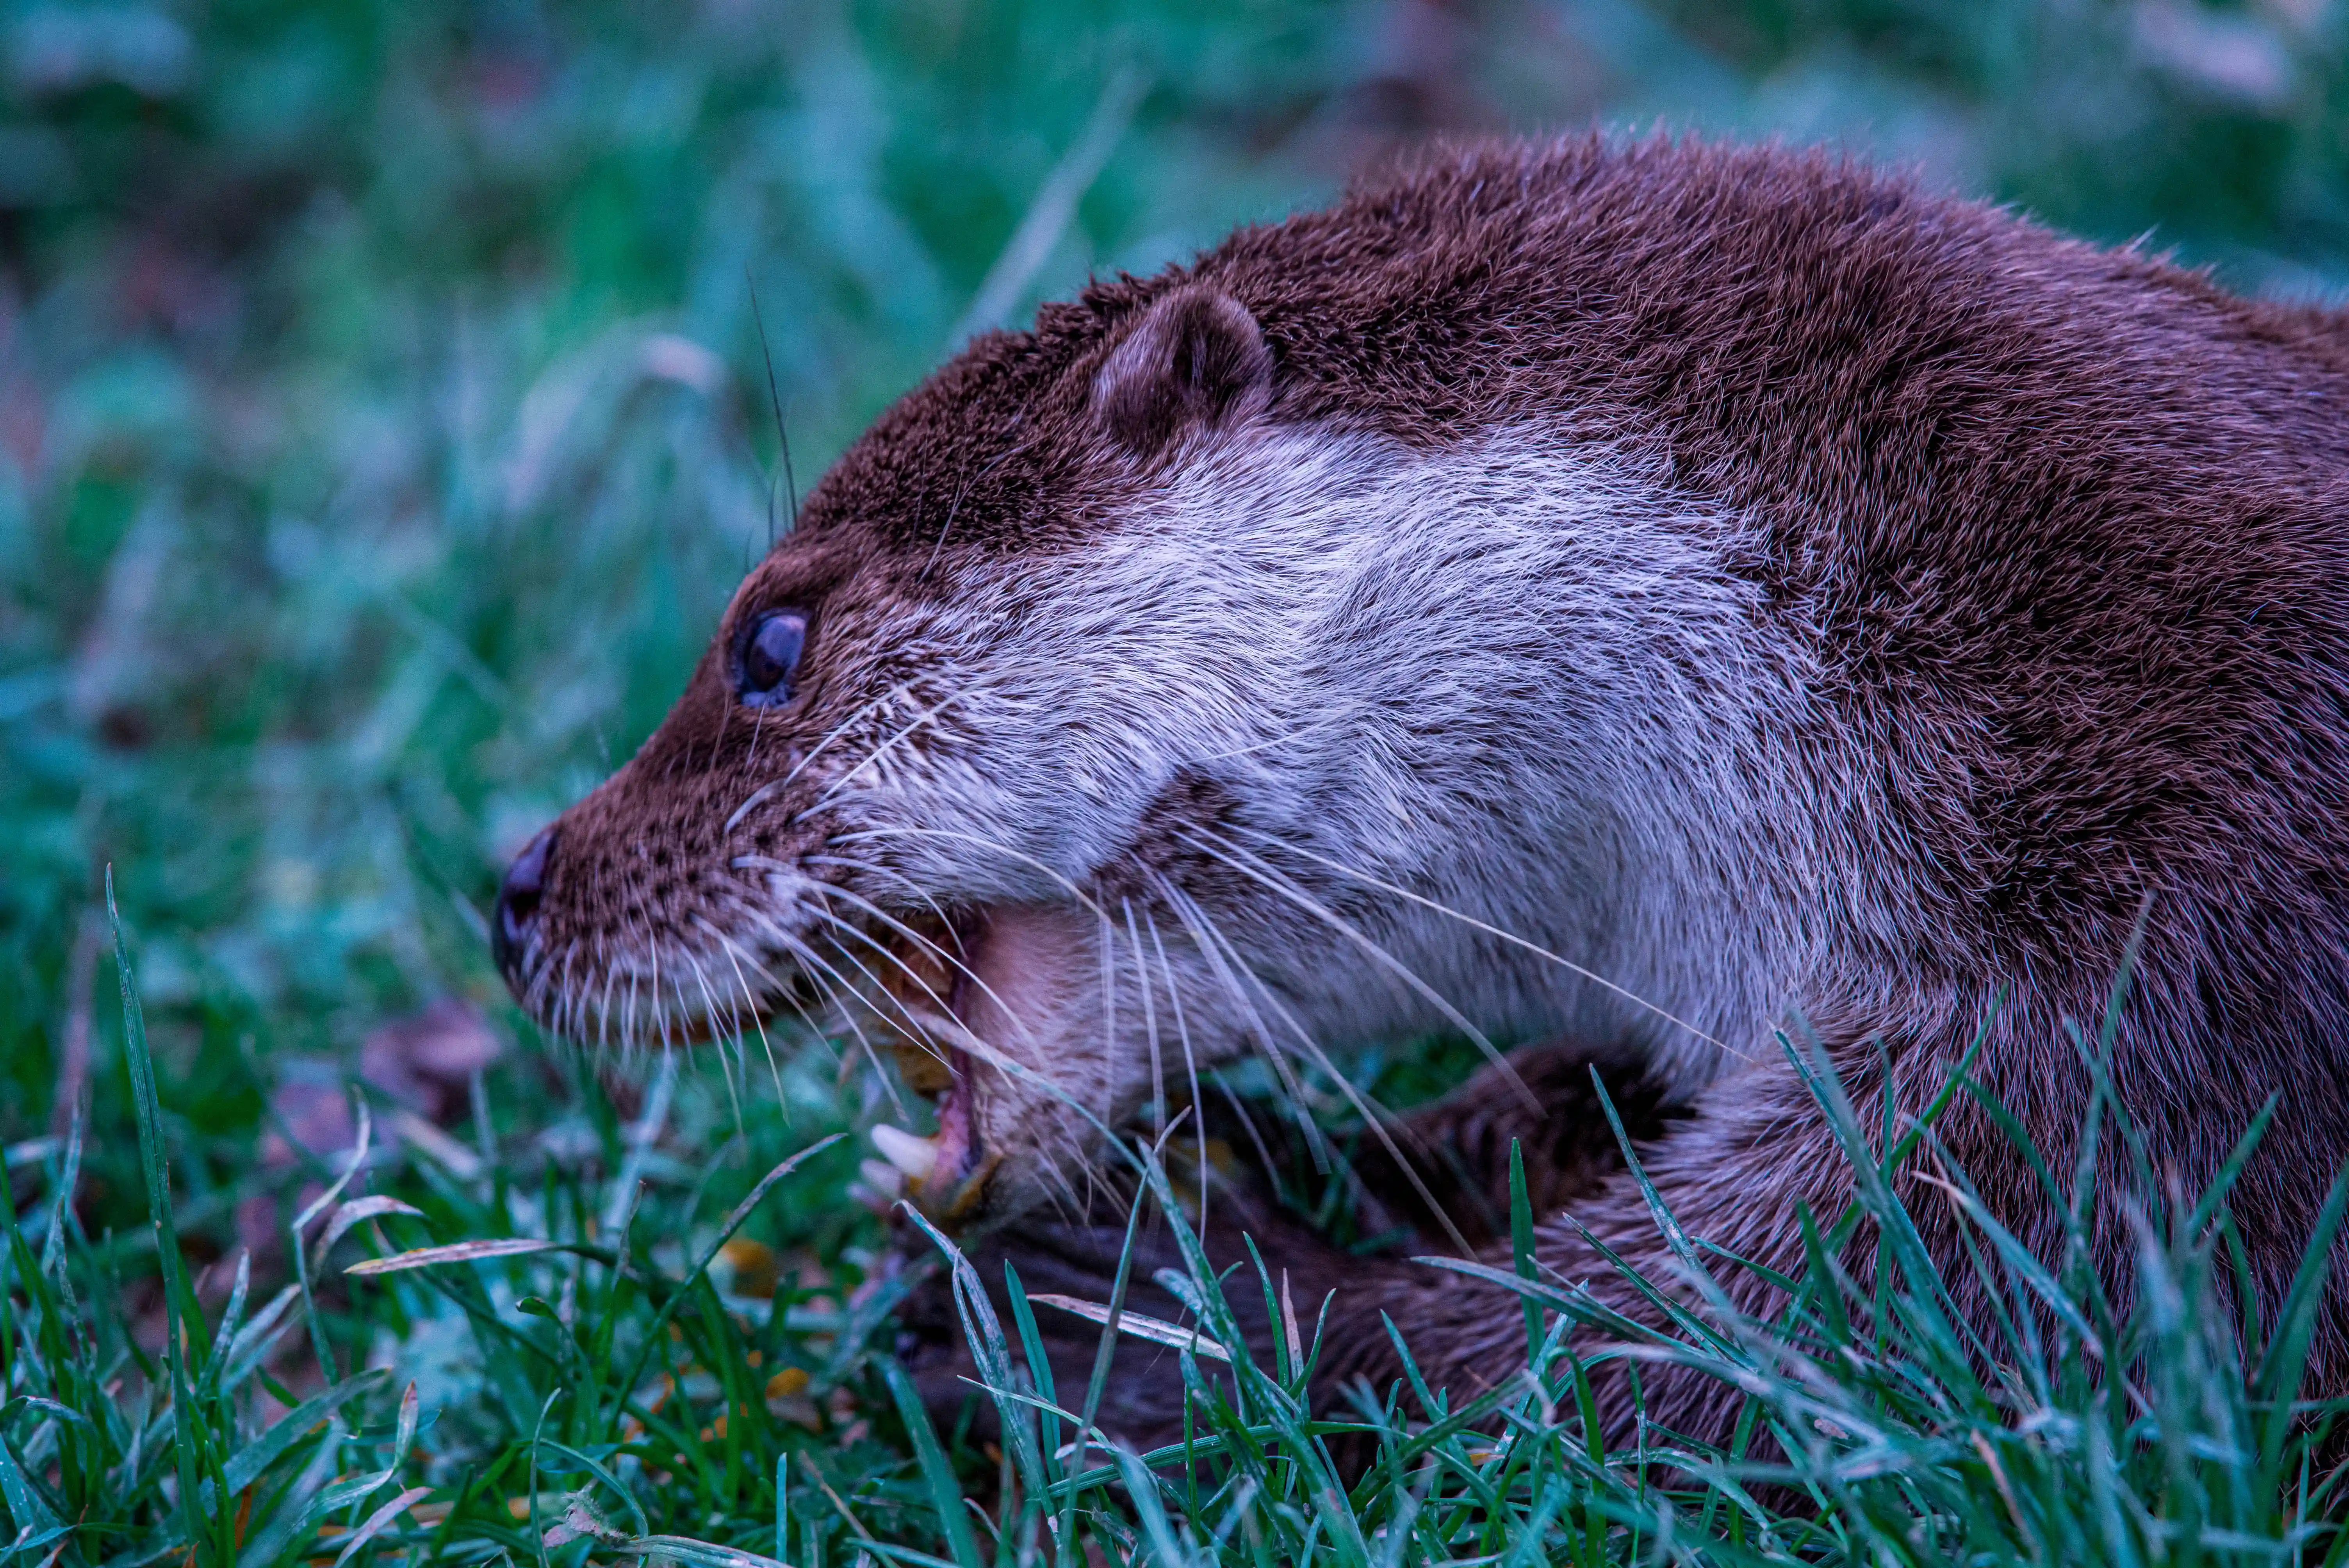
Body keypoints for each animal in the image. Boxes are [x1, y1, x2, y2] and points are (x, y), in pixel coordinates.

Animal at [492, 136, 2349, 1448]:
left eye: (769, 641)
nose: (514, 884)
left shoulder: (2148, 988)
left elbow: (1833, 1336)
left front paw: (1168, 1320)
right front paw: (1308, 1152)